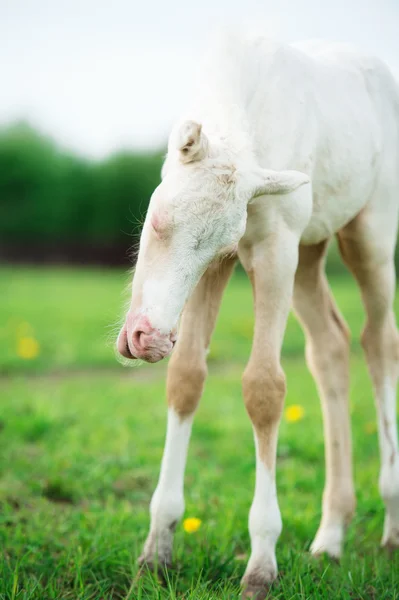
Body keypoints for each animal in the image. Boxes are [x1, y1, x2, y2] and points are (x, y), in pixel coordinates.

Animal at [116, 34, 399, 600]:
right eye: (156, 220)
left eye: (223, 241)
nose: (147, 339)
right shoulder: (225, 267)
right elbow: (186, 378)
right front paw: (156, 552)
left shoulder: (272, 248)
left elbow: (264, 388)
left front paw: (262, 564)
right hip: (311, 250)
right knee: (331, 347)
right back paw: (330, 536)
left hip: (368, 237)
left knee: (379, 343)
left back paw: (390, 526)